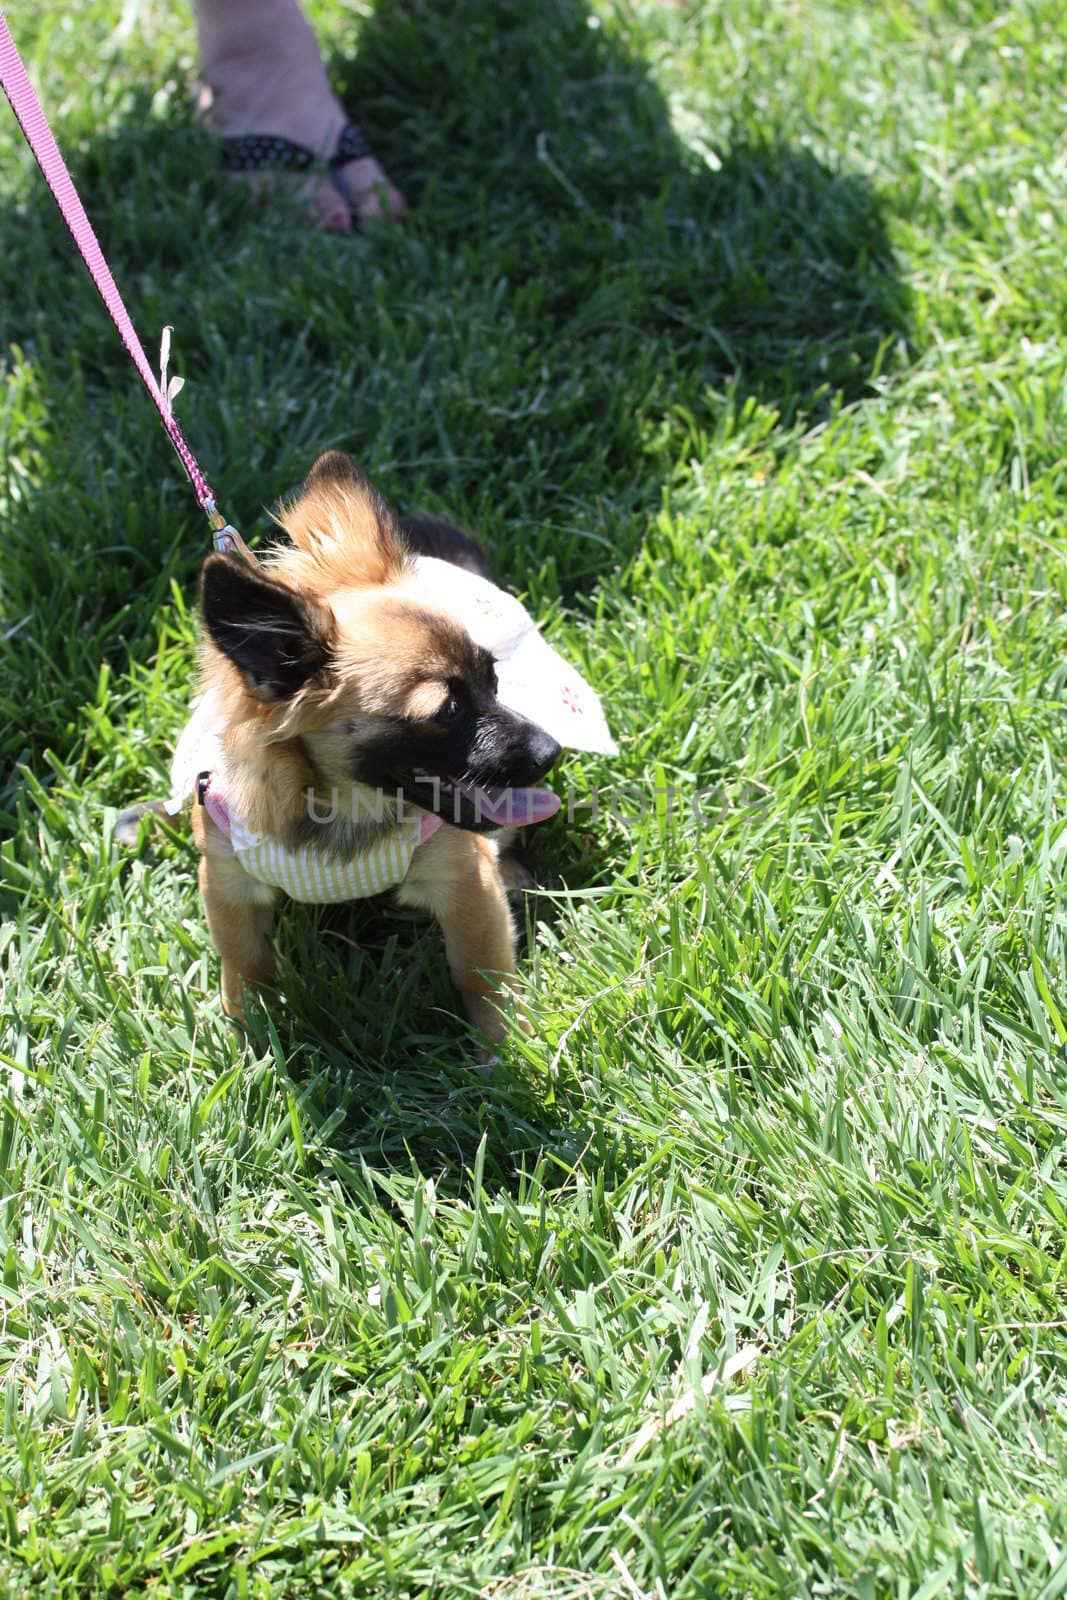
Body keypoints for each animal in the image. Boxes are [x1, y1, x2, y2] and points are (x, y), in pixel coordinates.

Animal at [171, 457, 563, 1043]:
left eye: (494, 680)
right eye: (447, 711)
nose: (549, 751)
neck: (343, 808)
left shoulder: (468, 883)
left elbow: (480, 970)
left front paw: (504, 1042)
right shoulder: (227, 883)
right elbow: (245, 965)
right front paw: (251, 1035)